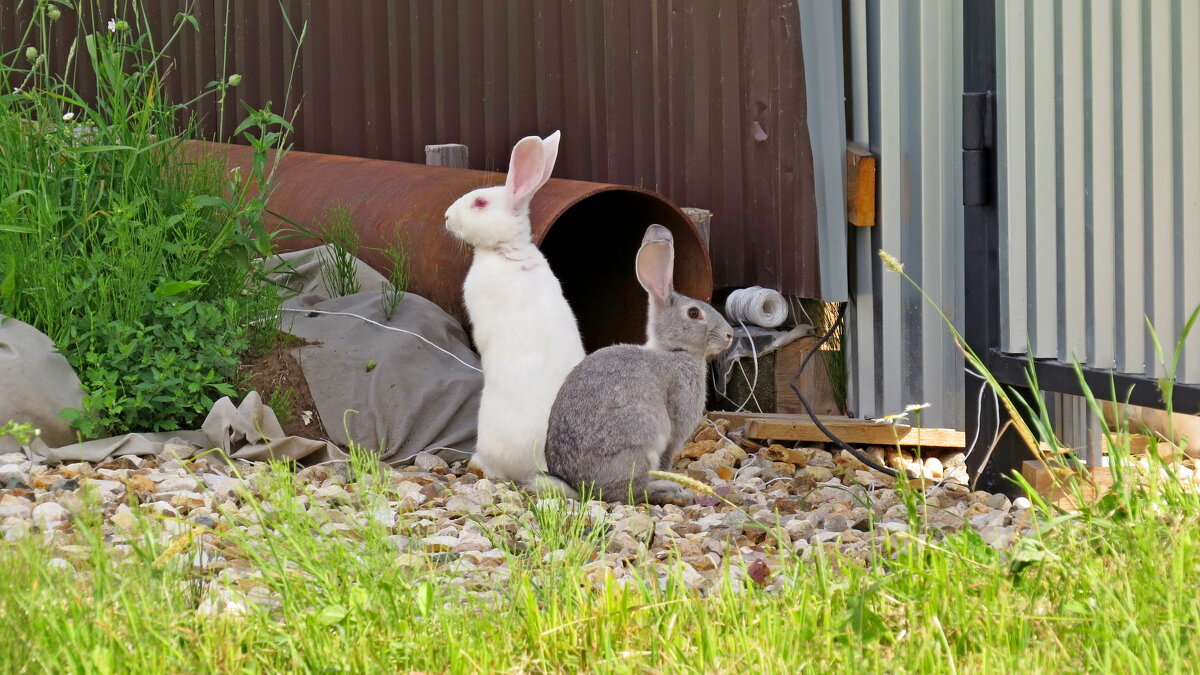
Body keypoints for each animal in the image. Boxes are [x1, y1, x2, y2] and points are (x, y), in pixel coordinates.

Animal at [542, 223, 729, 502]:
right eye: (694, 313)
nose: (730, 335)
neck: (674, 351)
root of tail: (582, 487)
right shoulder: (677, 416)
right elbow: (667, 456)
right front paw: (672, 477)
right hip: (640, 436)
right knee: (632, 489)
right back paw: (669, 490)